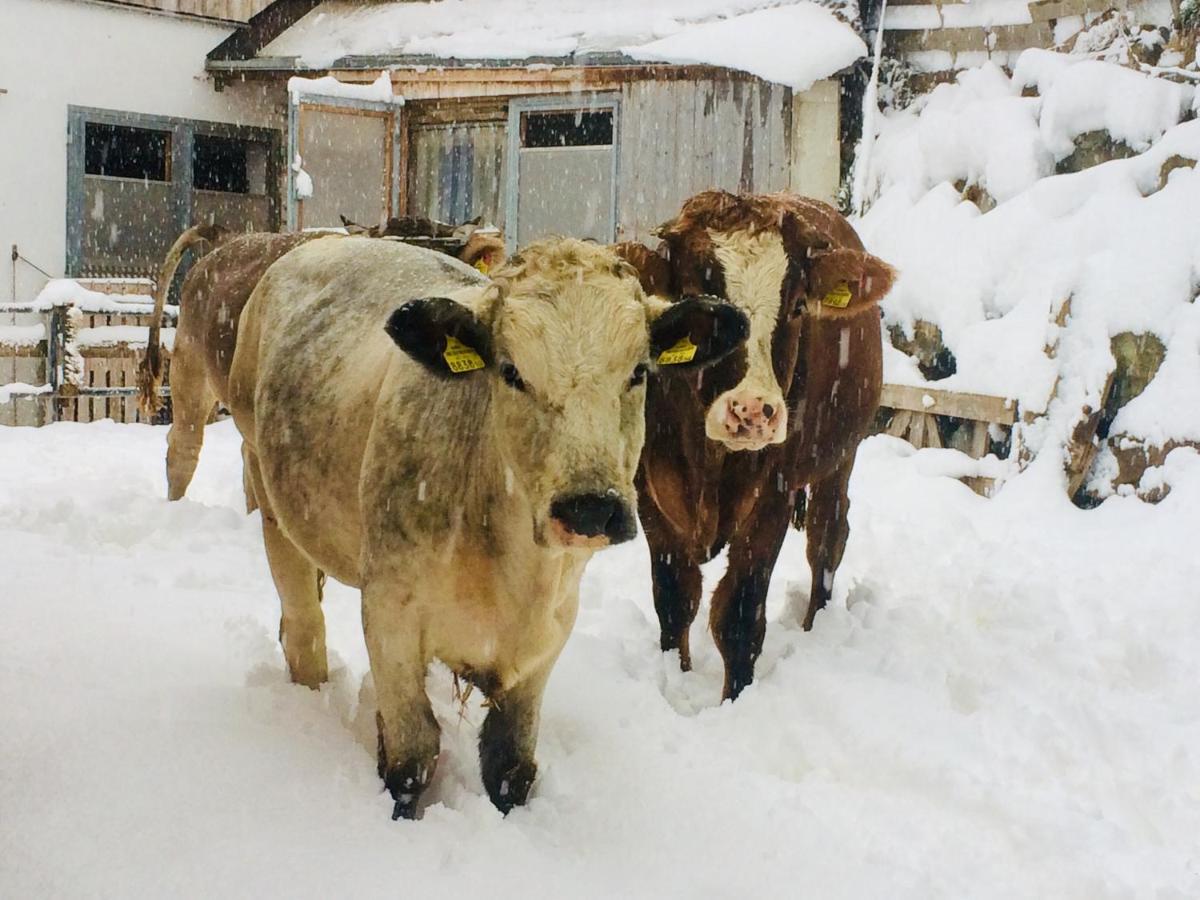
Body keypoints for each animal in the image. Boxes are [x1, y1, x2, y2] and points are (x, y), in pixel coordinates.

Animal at [228, 236, 744, 820]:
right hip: (267, 490)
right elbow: (412, 754)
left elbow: (510, 763)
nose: (589, 507)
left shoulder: (551, 630)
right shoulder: (389, 613)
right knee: (303, 630)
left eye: (638, 371)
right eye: (511, 370)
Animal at [619, 192, 892, 705]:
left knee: (827, 538)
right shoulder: (652, 497)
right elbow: (675, 599)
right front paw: (677, 678)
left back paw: (814, 626)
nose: (751, 410)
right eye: (697, 302)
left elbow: (740, 617)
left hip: (840, 458)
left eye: (799, 305)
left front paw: (733, 701)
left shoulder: (773, 499)